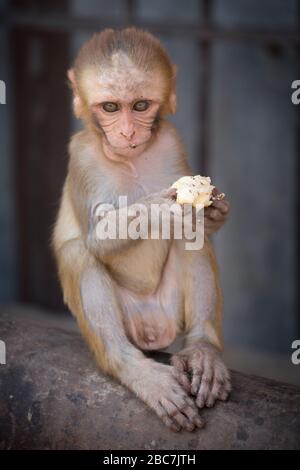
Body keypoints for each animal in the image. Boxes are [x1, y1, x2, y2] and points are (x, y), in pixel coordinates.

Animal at [52, 28, 231, 434]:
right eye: (110, 108)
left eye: (140, 105)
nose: (128, 131)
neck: (130, 159)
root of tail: (154, 327)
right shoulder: (81, 156)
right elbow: (97, 239)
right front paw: (159, 209)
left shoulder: (172, 140)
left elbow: (200, 226)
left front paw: (214, 212)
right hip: (130, 320)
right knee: (78, 253)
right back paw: (133, 368)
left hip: (169, 309)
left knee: (191, 236)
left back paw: (203, 348)